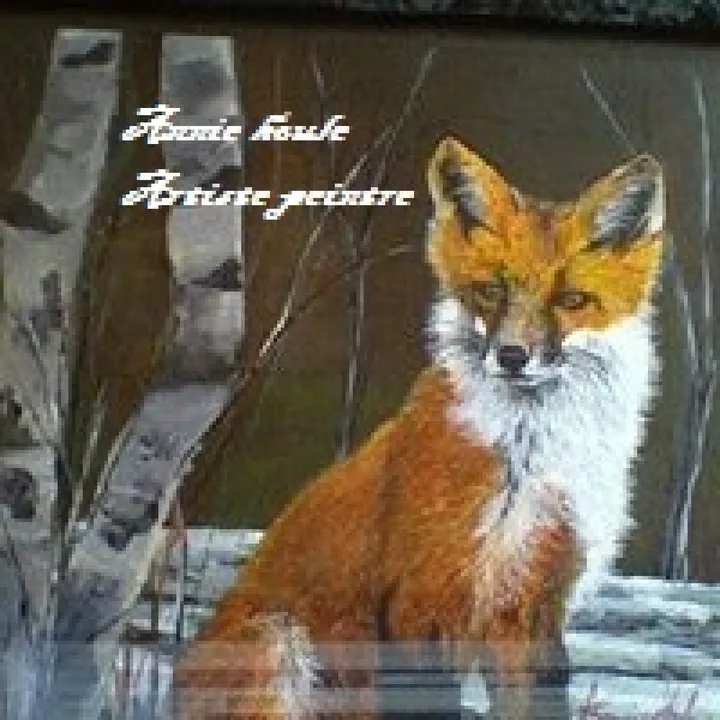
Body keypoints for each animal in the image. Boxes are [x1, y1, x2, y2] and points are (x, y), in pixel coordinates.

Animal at [172, 136, 665, 719]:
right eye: (491, 291)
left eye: (571, 300)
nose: (512, 356)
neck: (524, 463)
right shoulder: (418, 600)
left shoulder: (532, 609)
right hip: (279, 642)